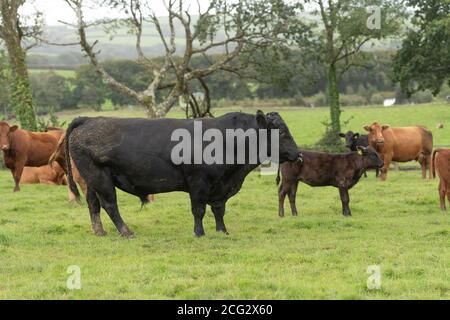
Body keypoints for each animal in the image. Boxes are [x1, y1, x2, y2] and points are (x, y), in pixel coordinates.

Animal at [65, 111, 300, 236]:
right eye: (282, 132)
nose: (297, 154)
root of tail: (89, 119)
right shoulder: (199, 183)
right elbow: (199, 210)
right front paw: (199, 233)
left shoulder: (220, 186)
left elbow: (219, 210)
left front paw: (222, 231)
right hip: (100, 179)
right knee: (109, 205)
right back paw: (126, 231)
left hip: (91, 180)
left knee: (93, 204)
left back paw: (100, 231)